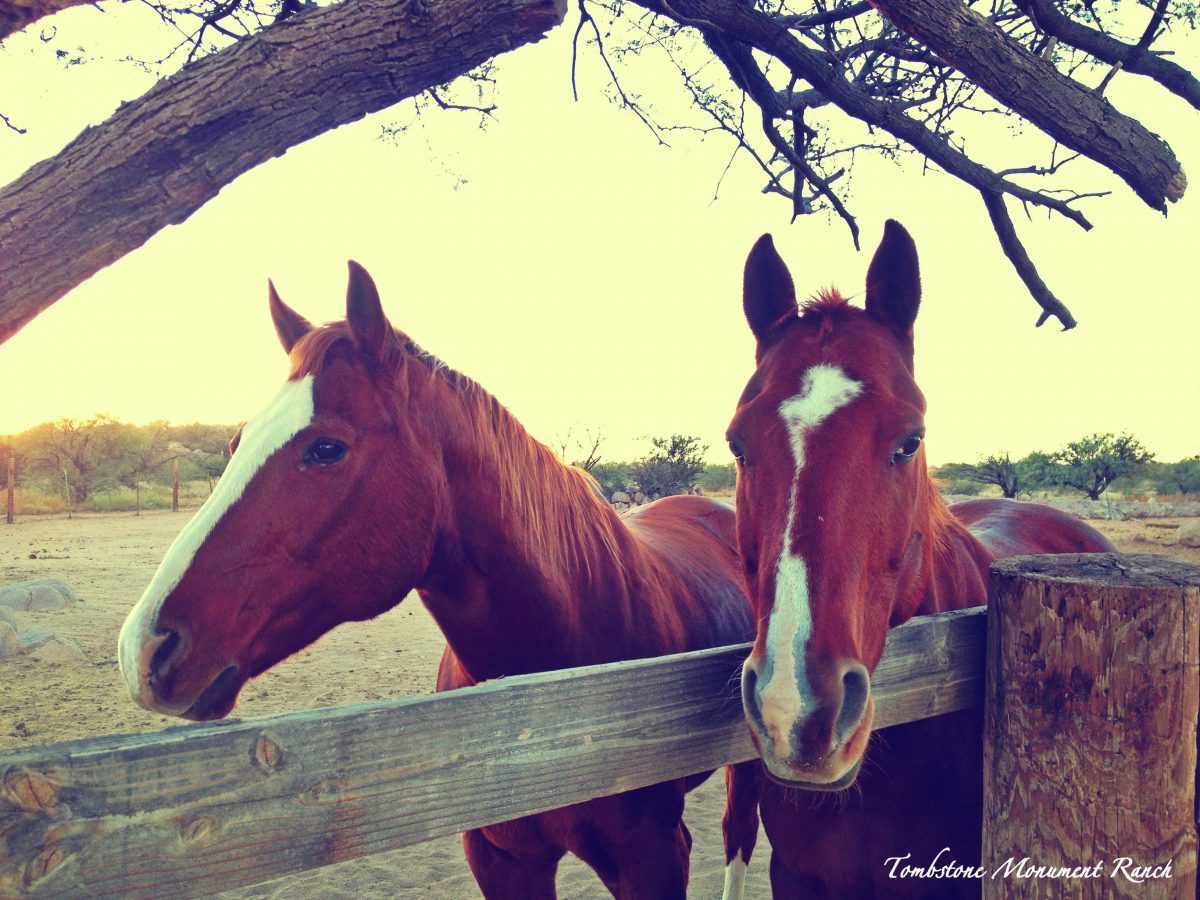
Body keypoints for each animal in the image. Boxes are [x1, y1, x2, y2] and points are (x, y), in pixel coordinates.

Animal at [119, 264, 758, 897]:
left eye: (326, 448)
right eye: (235, 443)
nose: (144, 648)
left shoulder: (655, 856)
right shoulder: (503, 859)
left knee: (739, 834)